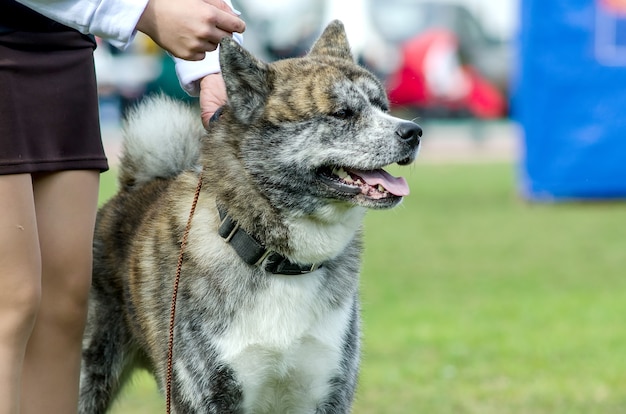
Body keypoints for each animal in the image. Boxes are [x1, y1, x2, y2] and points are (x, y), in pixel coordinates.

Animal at [78, 20, 420, 414]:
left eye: (383, 106)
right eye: (342, 113)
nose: (413, 132)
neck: (282, 264)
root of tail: (135, 187)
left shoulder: (327, 394)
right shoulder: (207, 395)